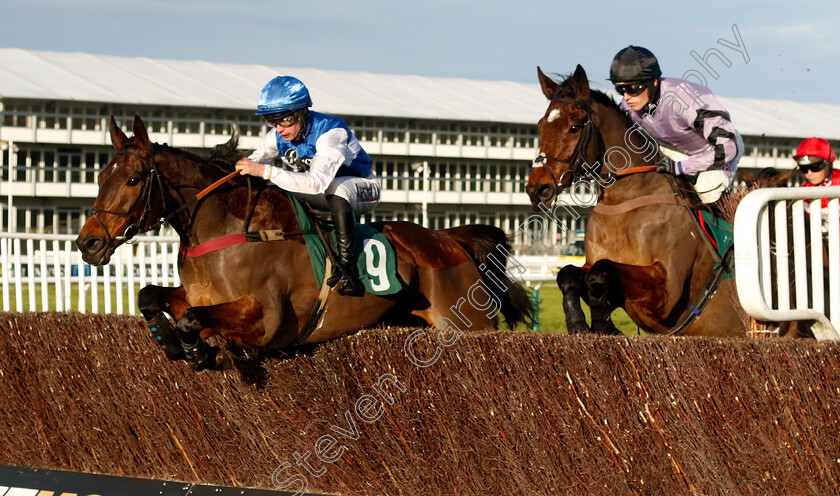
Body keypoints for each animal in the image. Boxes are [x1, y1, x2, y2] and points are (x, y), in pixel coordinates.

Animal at [75, 113, 528, 368]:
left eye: (134, 179)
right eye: (99, 176)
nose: (88, 244)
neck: (227, 229)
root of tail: (449, 239)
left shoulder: (266, 321)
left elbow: (194, 321)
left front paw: (197, 350)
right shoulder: (198, 297)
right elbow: (150, 296)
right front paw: (171, 342)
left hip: (464, 325)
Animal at [528, 66, 744, 338]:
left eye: (574, 127)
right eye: (541, 125)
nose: (537, 188)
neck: (625, 201)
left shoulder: (666, 294)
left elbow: (600, 273)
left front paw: (603, 324)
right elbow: (569, 275)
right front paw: (579, 322)